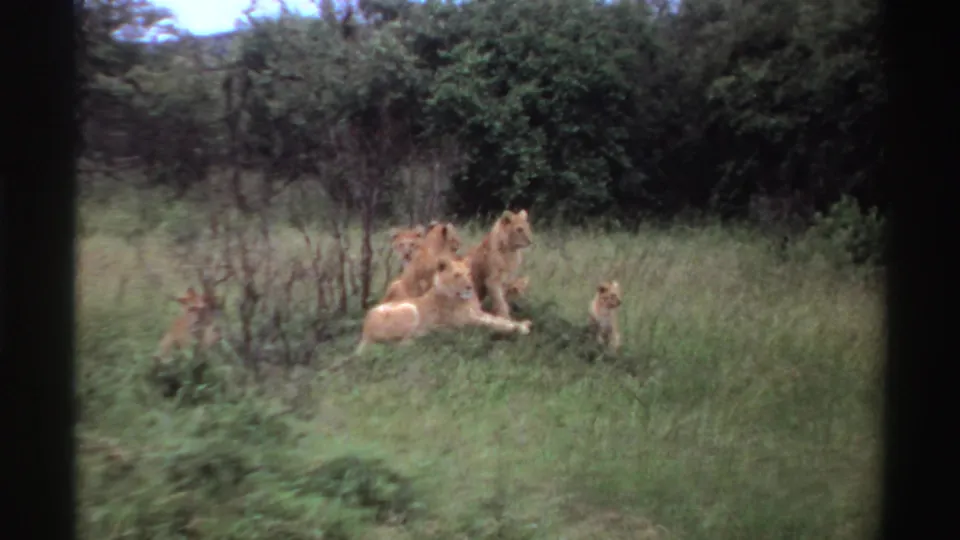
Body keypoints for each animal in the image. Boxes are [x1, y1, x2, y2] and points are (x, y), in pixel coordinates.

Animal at [356, 256, 533, 353]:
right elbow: (494, 324)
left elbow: (498, 319)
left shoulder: (478, 313)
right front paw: (520, 328)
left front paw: (522, 323)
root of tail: (364, 330)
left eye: (469, 274)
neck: (464, 299)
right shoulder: (466, 321)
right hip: (410, 309)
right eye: (457, 275)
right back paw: (429, 335)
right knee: (400, 344)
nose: (469, 286)